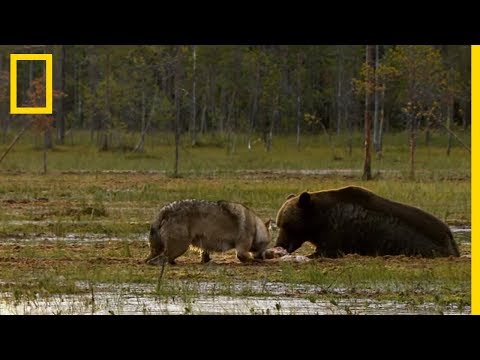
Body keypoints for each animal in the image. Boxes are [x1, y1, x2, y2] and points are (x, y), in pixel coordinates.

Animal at [274, 186, 458, 258]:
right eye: (279, 223)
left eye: (287, 224)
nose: (279, 244)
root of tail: (449, 235)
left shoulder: (336, 230)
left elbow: (327, 250)